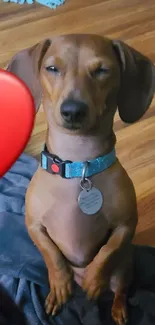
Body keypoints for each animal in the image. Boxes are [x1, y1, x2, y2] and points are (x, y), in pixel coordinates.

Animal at [6, 34, 155, 324]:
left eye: (102, 70)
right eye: (52, 68)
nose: (73, 110)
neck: (78, 168)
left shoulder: (126, 226)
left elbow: (107, 252)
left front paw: (94, 281)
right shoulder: (34, 226)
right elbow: (52, 255)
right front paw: (60, 284)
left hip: (123, 270)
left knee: (120, 290)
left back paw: (117, 309)